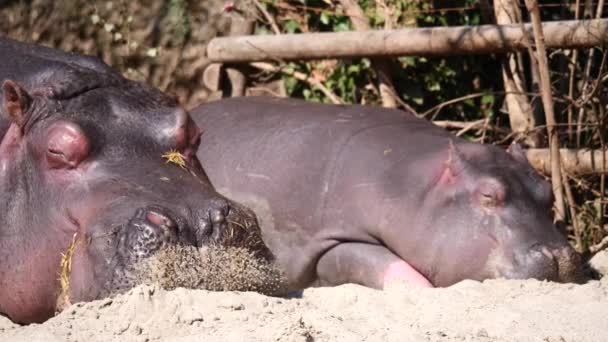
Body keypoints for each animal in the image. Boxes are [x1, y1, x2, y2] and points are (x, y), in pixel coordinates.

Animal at [192, 95, 588, 292]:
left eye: (547, 192)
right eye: (489, 196)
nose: (560, 256)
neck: (420, 187)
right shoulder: (332, 239)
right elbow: (404, 277)